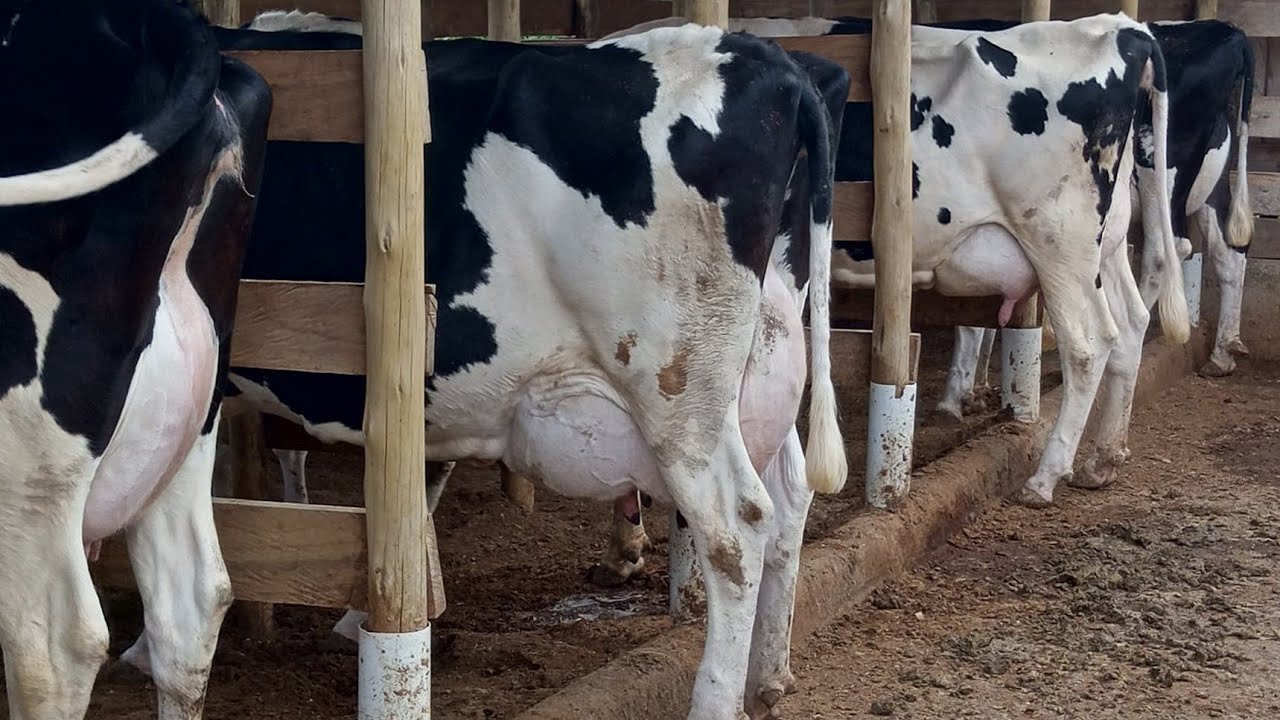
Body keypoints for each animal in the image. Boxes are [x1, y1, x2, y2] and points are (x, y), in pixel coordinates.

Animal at [175, 14, 854, 719]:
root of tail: (768, 59)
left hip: (678, 389)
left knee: (737, 530)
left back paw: (718, 697)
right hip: (760, 368)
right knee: (792, 492)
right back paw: (769, 674)